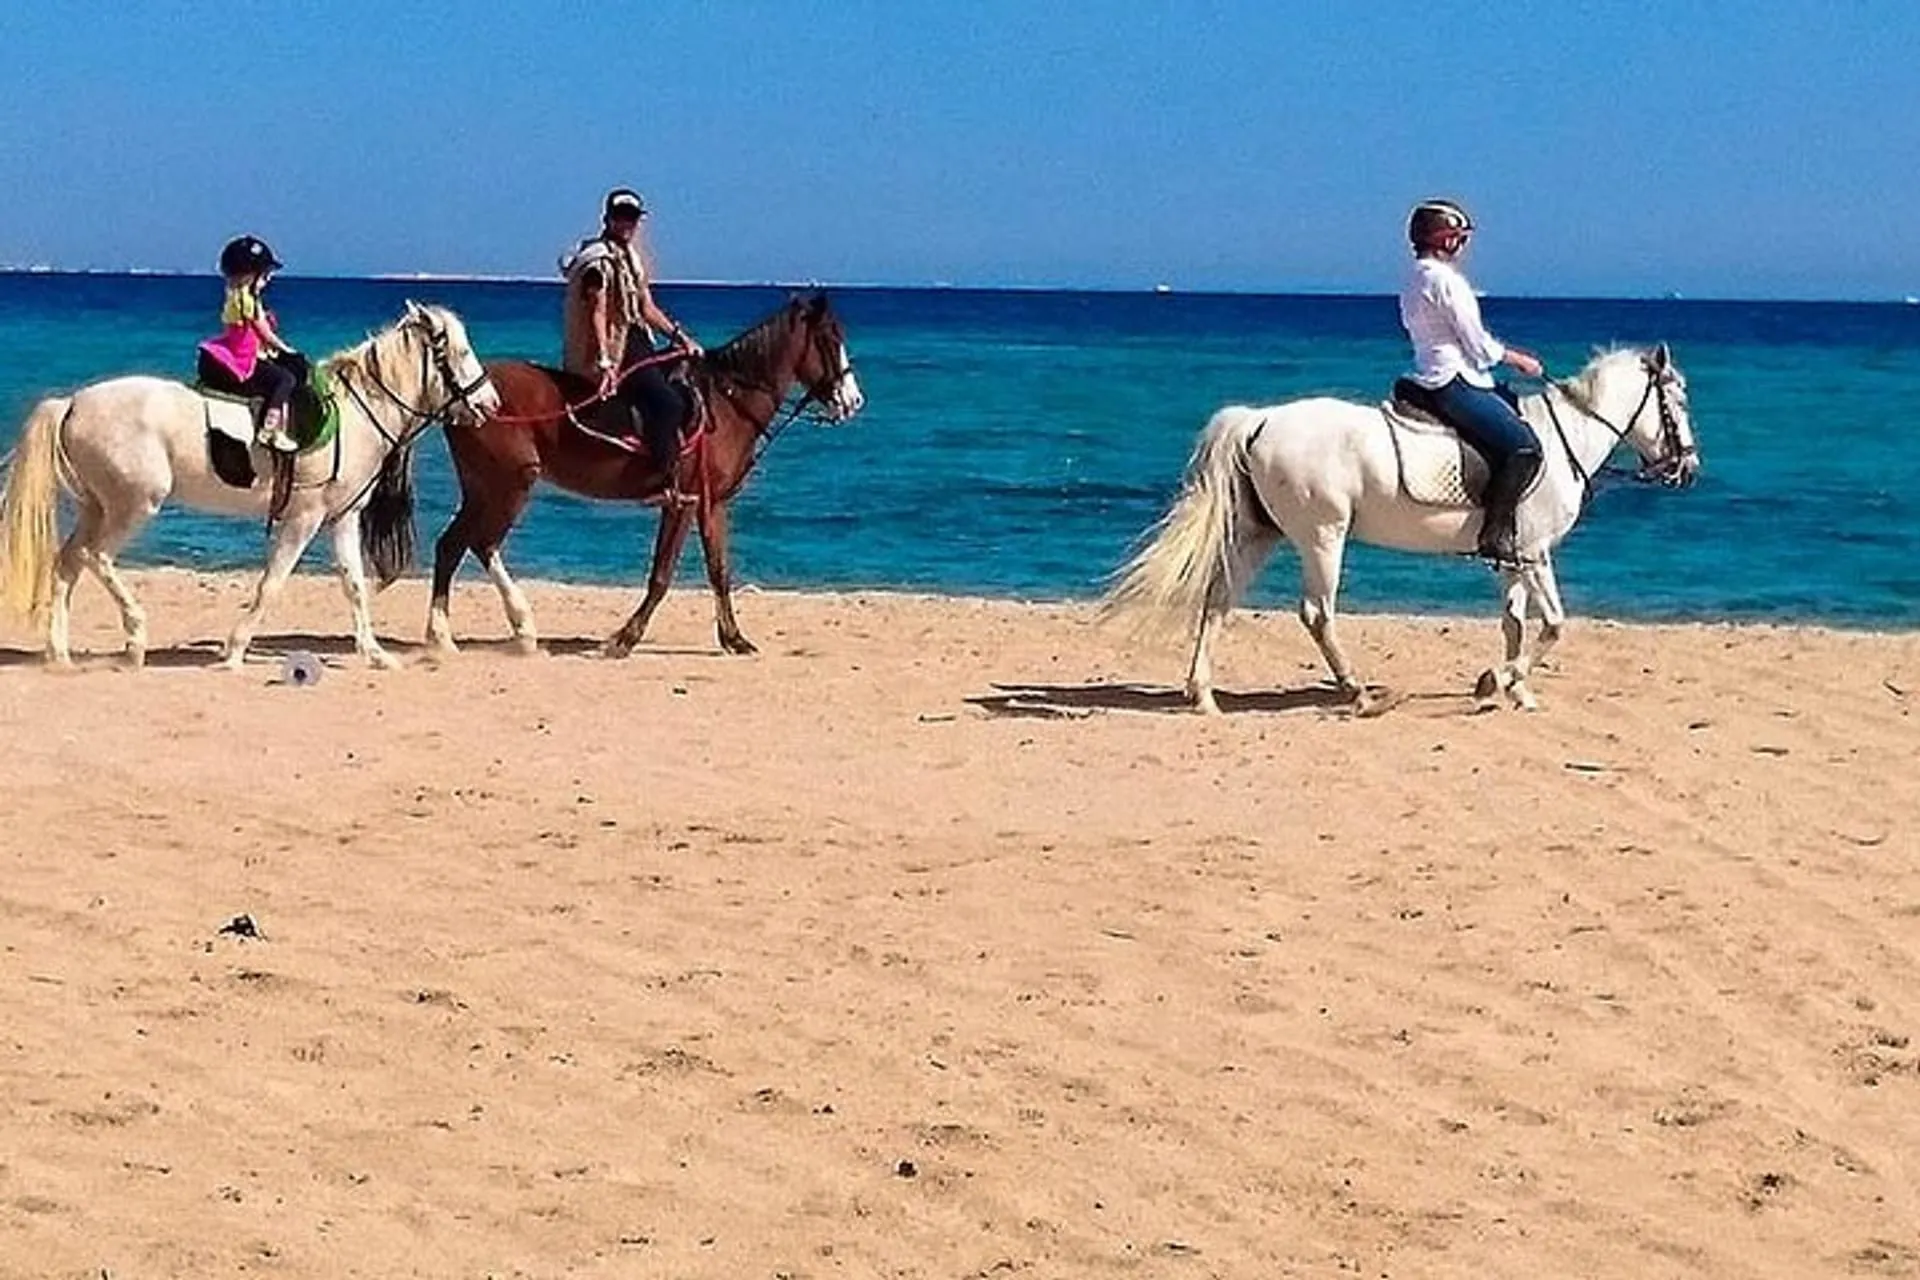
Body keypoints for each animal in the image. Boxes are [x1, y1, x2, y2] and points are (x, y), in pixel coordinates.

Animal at [0, 301, 498, 671]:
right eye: (459, 351)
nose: (491, 404)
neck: (357, 411)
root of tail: (72, 402)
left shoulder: (342, 518)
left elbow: (354, 586)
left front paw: (375, 654)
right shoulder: (304, 518)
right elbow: (272, 582)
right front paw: (235, 649)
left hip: (97, 507)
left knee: (67, 563)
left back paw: (59, 654)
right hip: (133, 505)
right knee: (95, 556)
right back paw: (136, 637)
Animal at [420, 292, 863, 658]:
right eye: (830, 338)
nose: (853, 399)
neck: (726, 405)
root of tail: (467, 399)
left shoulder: (713, 503)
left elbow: (719, 571)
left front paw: (735, 639)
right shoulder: (682, 503)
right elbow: (661, 575)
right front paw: (624, 638)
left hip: (483, 487)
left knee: (450, 546)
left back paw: (442, 637)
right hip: (509, 484)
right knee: (481, 543)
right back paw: (517, 630)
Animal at [1102, 345, 1701, 713]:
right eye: (1677, 399)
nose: (1688, 468)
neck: (1563, 439)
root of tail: (1260, 419)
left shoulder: (1513, 557)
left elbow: (1513, 624)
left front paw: (1515, 692)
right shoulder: (1534, 553)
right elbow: (1552, 624)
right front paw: (1498, 682)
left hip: (1258, 533)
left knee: (1219, 599)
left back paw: (1204, 696)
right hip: (1323, 535)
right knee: (1317, 612)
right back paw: (1358, 693)